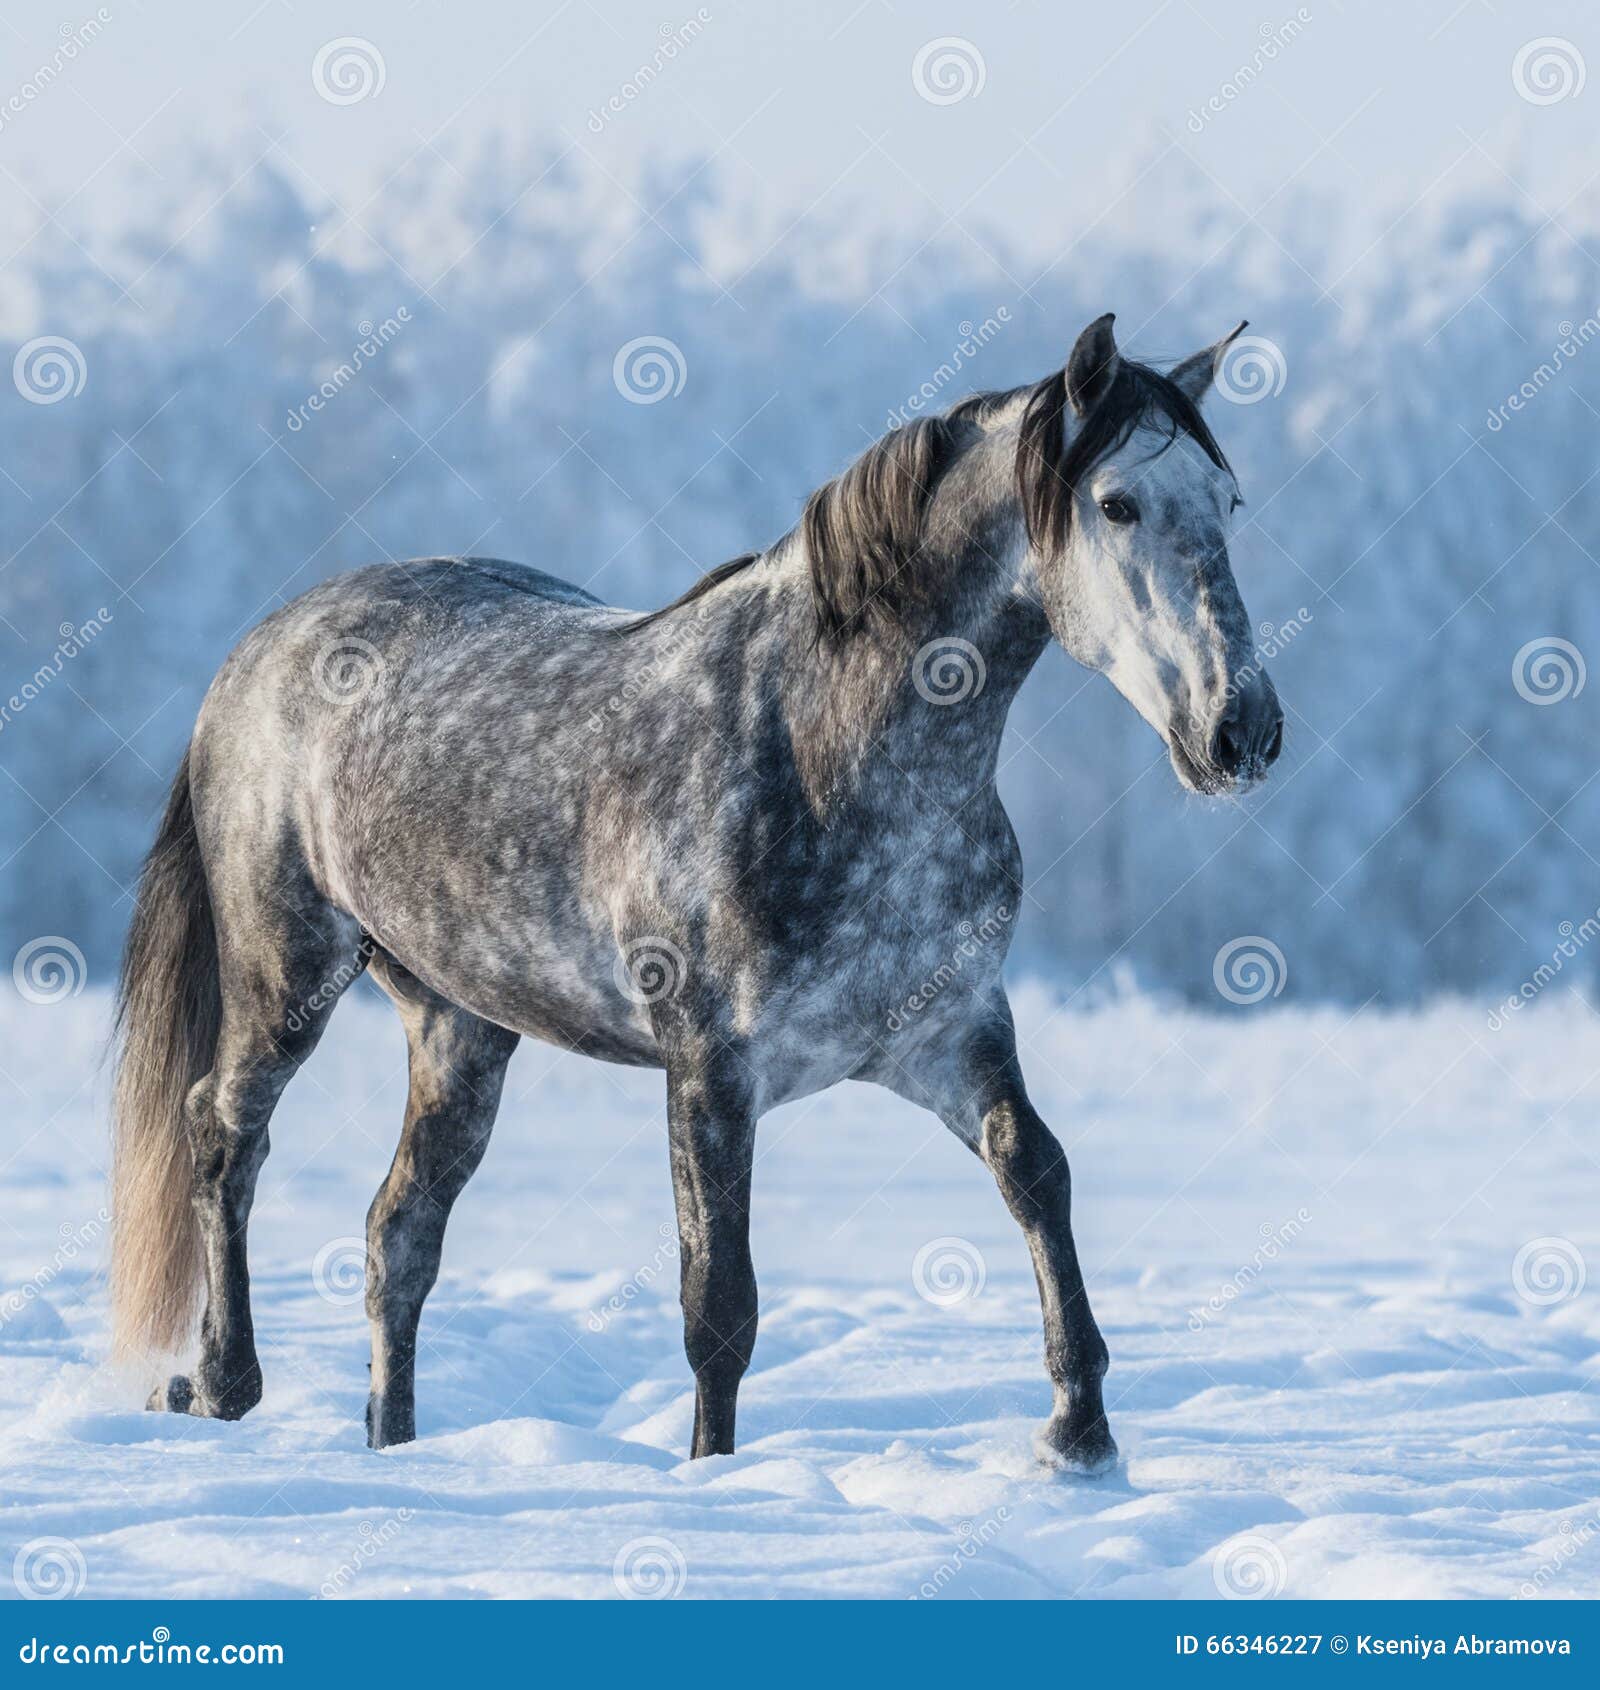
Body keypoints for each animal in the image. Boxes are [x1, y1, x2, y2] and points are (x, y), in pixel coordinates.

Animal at [112, 314, 1284, 1466]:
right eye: (1117, 503)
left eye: (1228, 502)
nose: (1243, 728)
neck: (826, 749)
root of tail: (258, 649)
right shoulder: (711, 1069)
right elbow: (718, 1303)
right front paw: (713, 1477)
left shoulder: (947, 1033)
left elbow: (1037, 1174)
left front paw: (1080, 1432)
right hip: (287, 973)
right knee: (224, 1132)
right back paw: (223, 1384)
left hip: (460, 1028)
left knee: (398, 1232)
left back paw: (391, 1445)